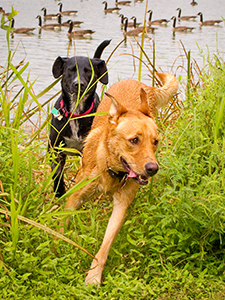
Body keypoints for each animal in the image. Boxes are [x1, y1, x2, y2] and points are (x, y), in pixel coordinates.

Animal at [49, 39, 110, 197]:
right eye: (70, 70)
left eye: (89, 71)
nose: (79, 84)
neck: (76, 113)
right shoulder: (55, 149)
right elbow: (57, 174)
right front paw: (59, 193)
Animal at [64, 72, 178, 284]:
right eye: (134, 140)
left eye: (155, 142)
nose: (153, 169)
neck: (111, 168)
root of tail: (138, 83)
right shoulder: (75, 196)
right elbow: (62, 221)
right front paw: (57, 242)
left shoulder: (121, 205)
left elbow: (105, 246)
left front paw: (94, 276)